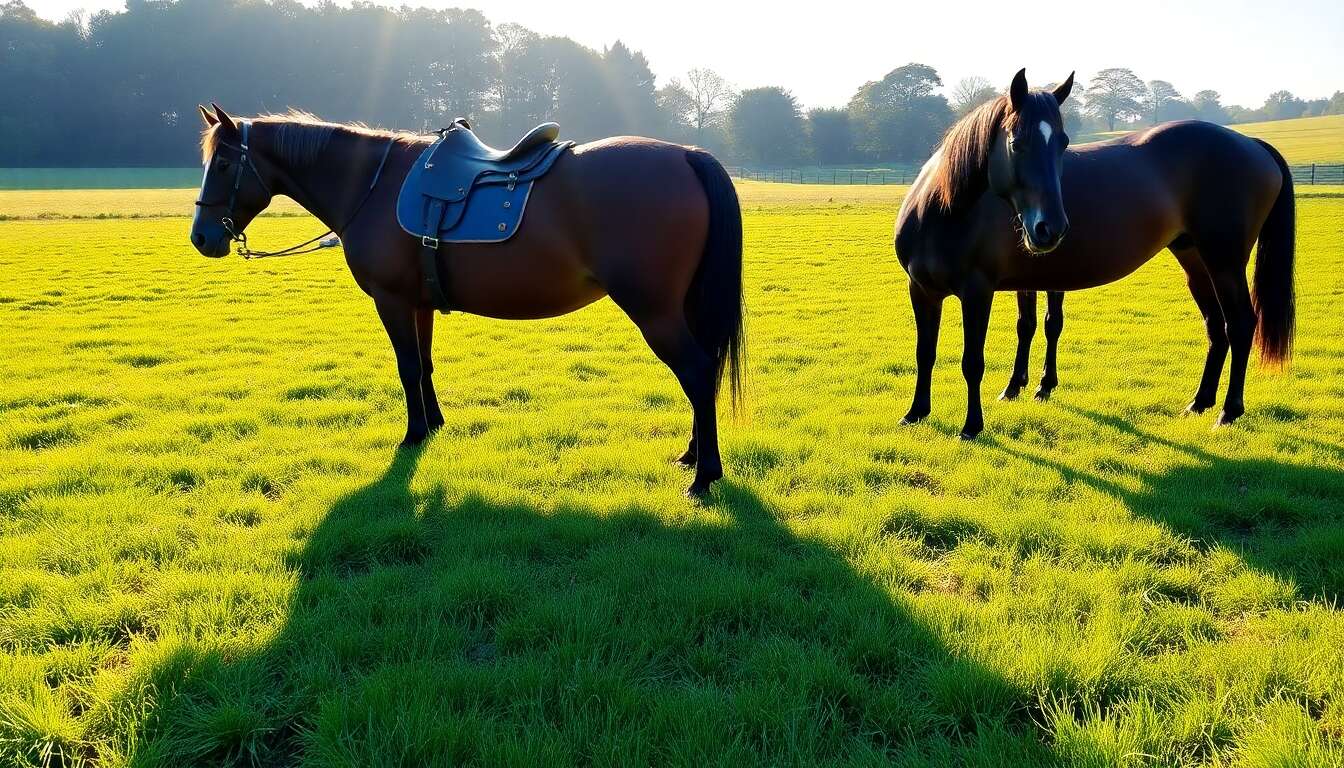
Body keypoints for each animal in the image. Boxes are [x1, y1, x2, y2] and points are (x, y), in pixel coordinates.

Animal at [190, 105, 745, 497]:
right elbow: (425, 364)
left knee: (696, 372)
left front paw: (413, 435)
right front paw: (433, 425)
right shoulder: (418, 302)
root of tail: (687, 155)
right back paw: (693, 456)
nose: (201, 237)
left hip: (655, 311)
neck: (374, 184)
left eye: (224, 162)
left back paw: (704, 476)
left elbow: (408, 367)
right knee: (703, 373)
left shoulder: (391, 301)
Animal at [894, 69, 1295, 439]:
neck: (942, 211)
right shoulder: (923, 291)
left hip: (1225, 263)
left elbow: (973, 361)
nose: (1052, 227)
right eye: (1017, 142)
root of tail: (1251, 143)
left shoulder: (978, 292)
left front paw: (972, 426)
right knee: (1216, 327)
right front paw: (916, 413)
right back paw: (1199, 402)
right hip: (1196, 263)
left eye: (1063, 142)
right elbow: (926, 351)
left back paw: (1228, 412)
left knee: (1240, 324)